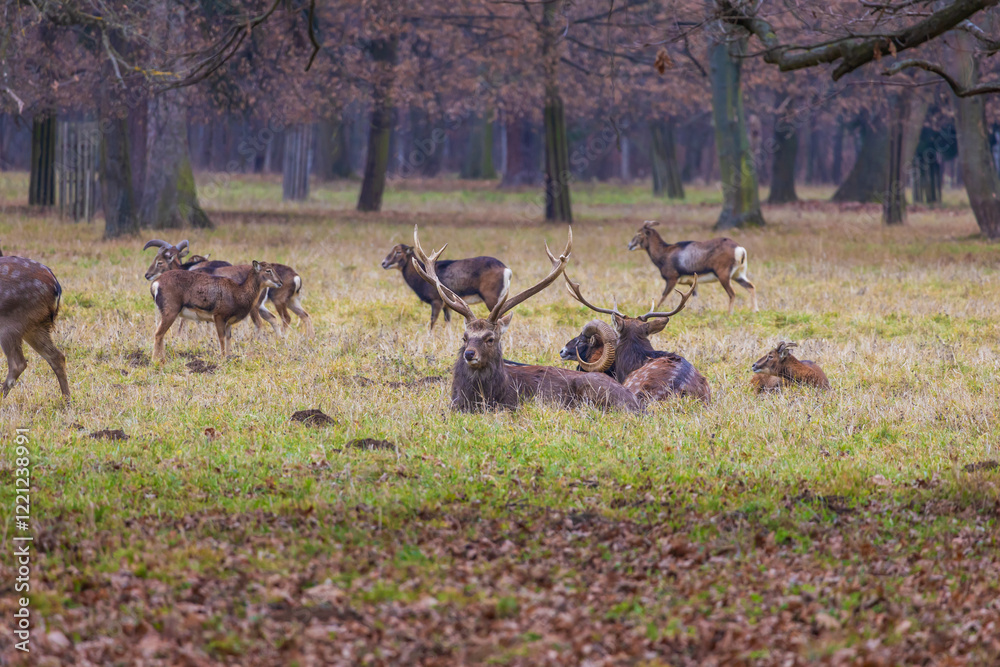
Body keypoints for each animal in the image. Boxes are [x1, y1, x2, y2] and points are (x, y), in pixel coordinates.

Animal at [0, 248, 70, 402]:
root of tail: (56, 286)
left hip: (9, 323)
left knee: (18, 364)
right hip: (35, 325)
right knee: (57, 357)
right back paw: (67, 401)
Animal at [149, 260, 283, 363]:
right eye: (268, 270)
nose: (280, 282)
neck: (238, 294)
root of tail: (155, 284)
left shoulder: (228, 322)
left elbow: (228, 338)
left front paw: (229, 357)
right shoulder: (219, 315)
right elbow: (221, 338)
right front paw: (223, 358)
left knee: (160, 334)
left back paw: (161, 359)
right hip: (170, 310)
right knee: (158, 333)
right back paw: (156, 360)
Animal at [381, 242, 511, 330]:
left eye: (398, 252)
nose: (383, 263)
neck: (420, 284)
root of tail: (507, 270)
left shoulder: (436, 299)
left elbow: (432, 322)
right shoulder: (447, 305)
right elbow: (448, 324)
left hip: (491, 296)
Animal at [627, 221, 758, 314]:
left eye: (639, 233)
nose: (629, 245)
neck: (664, 253)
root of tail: (740, 250)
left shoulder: (672, 279)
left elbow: (663, 296)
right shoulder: (692, 283)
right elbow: (695, 297)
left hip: (724, 276)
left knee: (732, 293)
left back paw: (729, 314)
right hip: (738, 275)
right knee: (751, 286)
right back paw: (754, 310)